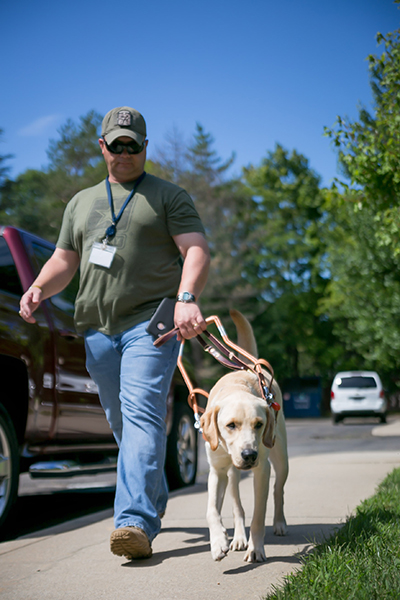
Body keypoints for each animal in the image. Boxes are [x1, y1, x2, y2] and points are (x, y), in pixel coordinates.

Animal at [200, 310, 288, 564]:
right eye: (231, 425)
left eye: (259, 424)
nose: (249, 454)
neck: (236, 386)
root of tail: (248, 365)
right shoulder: (217, 471)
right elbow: (212, 510)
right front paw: (218, 543)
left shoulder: (262, 470)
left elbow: (259, 515)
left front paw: (256, 549)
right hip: (232, 475)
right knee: (237, 505)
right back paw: (238, 538)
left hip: (281, 457)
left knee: (278, 490)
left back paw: (279, 523)